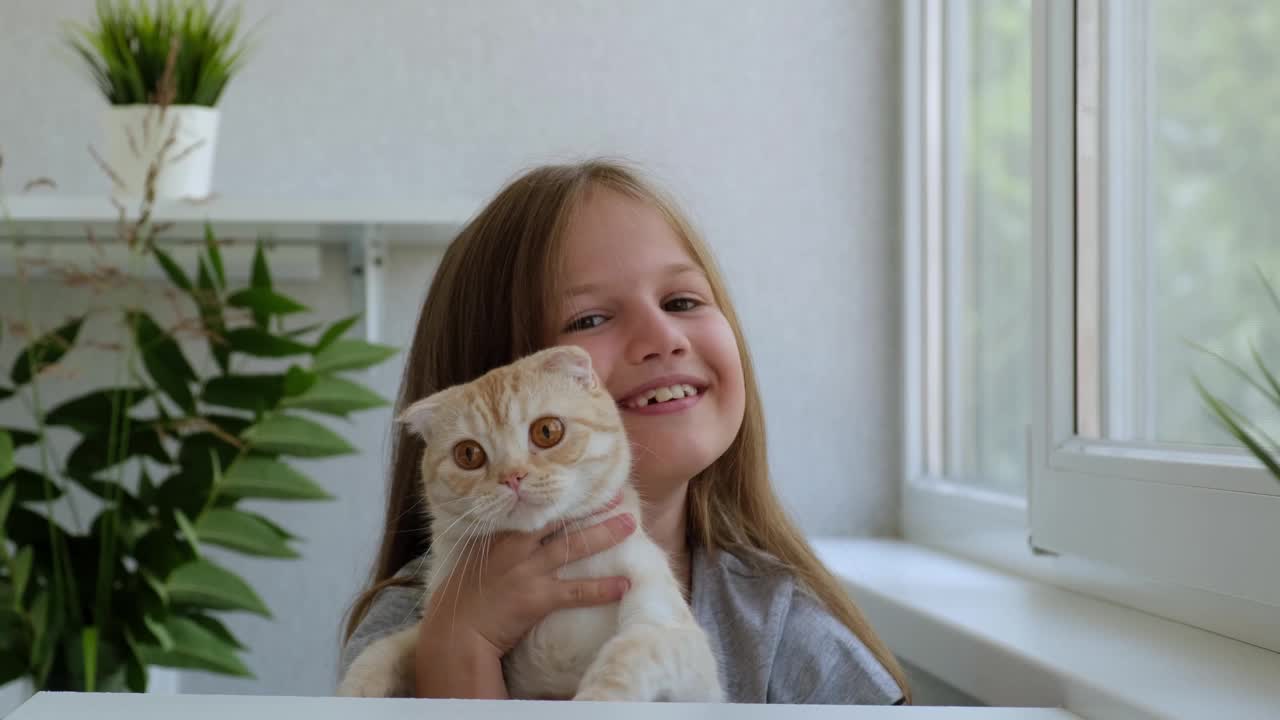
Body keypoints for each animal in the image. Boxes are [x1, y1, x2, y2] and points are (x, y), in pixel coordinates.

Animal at [337, 345, 721, 696]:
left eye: (547, 431)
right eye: (468, 454)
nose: (512, 476)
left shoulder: (672, 632)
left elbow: (626, 656)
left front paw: (595, 698)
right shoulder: (434, 629)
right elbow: (380, 651)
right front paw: (353, 693)